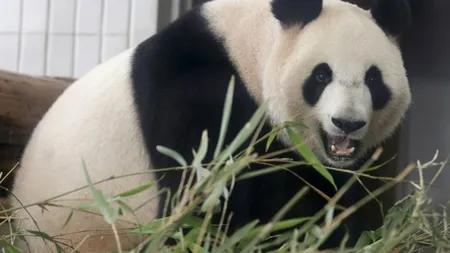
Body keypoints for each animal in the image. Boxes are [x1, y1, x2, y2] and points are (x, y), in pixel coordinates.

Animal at [6, 0, 412, 251]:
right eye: (321, 75)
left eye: (373, 79)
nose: (347, 122)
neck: (247, 49)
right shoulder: (198, 91)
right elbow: (209, 196)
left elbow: (319, 194)